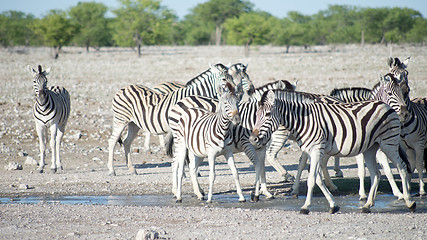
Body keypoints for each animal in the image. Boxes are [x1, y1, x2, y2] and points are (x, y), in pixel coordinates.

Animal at [106, 63, 251, 176]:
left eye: (232, 78)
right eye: (223, 79)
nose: (237, 93)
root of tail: (124, 88)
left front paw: (191, 171)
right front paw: (189, 171)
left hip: (133, 124)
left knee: (126, 142)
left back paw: (131, 169)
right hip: (120, 120)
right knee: (112, 141)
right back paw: (112, 171)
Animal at [167, 80, 298, 201]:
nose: (289, 130)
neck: (254, 119)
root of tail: (178, 102)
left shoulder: (261, 147)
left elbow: (262, 168)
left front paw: (265, 192)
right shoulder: (246, 143)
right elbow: (258, 165)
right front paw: (258, 192)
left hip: (197, 147)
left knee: (191, 166)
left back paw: (199, 192)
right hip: (181, 141)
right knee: (175, 163)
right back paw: (175, 191)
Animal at [249, 89, 416, 214]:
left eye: (267, 115)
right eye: (255, 115)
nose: (253, 139)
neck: (303, 121)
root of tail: (386, 105)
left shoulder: (317, 149)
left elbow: (312, 179)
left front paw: (305, 207)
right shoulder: (312, 151)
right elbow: (316, 178)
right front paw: (333, 205)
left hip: (388, 143)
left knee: (401, 167)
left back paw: (409, 202)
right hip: (371, 148)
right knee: (376, 174)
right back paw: (368, 205)